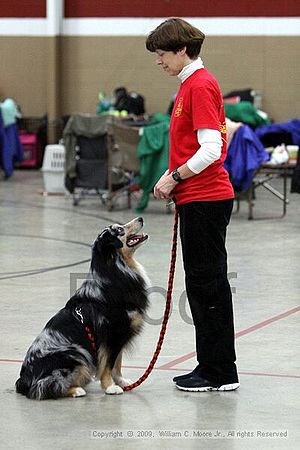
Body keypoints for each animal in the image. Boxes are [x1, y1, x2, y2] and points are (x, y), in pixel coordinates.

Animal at [15, 216, 149, 400]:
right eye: (119, 230)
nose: (140, 218)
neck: (117, 270)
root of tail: (24, 380)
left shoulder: (118, 336)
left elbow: (117, 363)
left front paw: (121, 381)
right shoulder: (112, 334)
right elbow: (108, 364)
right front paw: (110, 387)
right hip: (75, 354)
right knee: (47, 386)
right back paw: (76, 390)